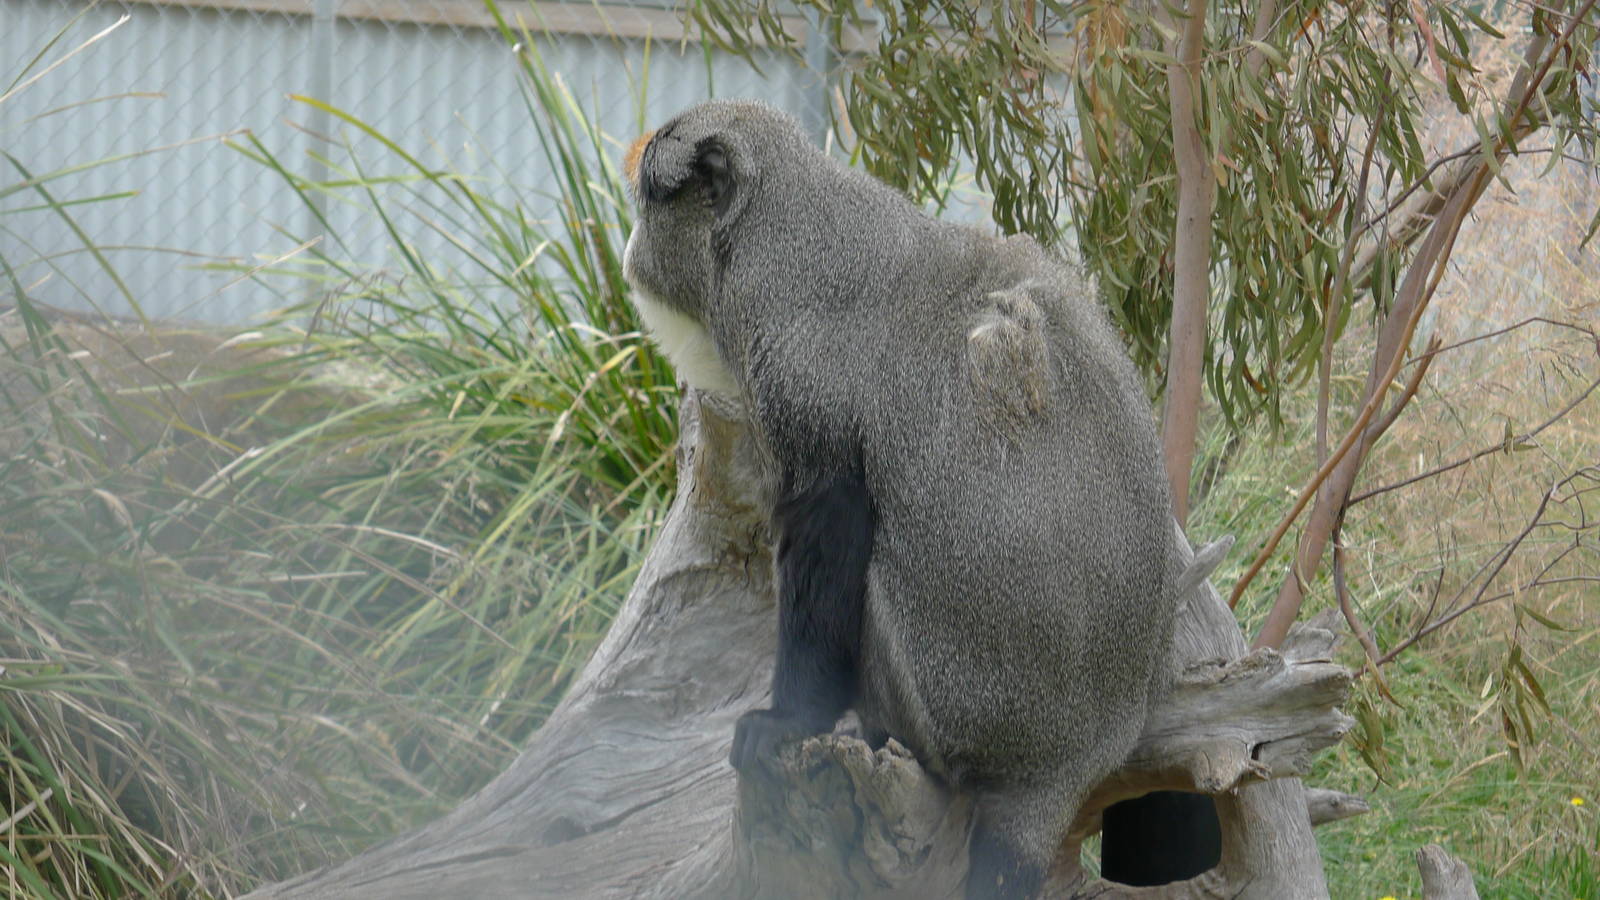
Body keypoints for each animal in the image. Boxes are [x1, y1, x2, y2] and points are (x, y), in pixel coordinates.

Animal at [621, 99, 1218, 898]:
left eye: (648, 202)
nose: (629, 248)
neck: (784, 231)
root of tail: (1070, 760)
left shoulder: (798, 384)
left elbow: (830, 525)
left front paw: (787, 721)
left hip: (944, 712)